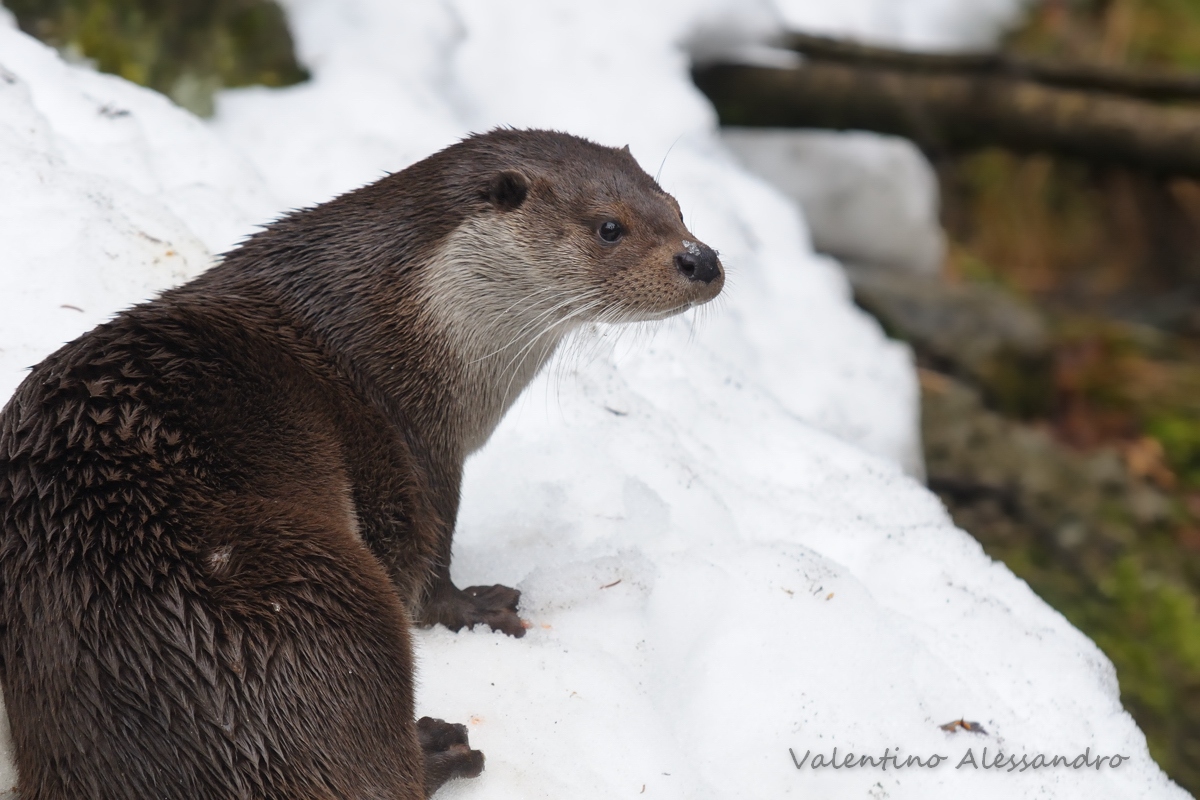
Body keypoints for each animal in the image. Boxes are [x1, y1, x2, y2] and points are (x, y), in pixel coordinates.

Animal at [0, 128, 723, 798]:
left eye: (676, 206)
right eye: (610, 227)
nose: (703, 259)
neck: (400, 328)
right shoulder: (419, 453)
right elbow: (426, 569)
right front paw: (476, 606)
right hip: (332, 597)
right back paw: (439, 748)